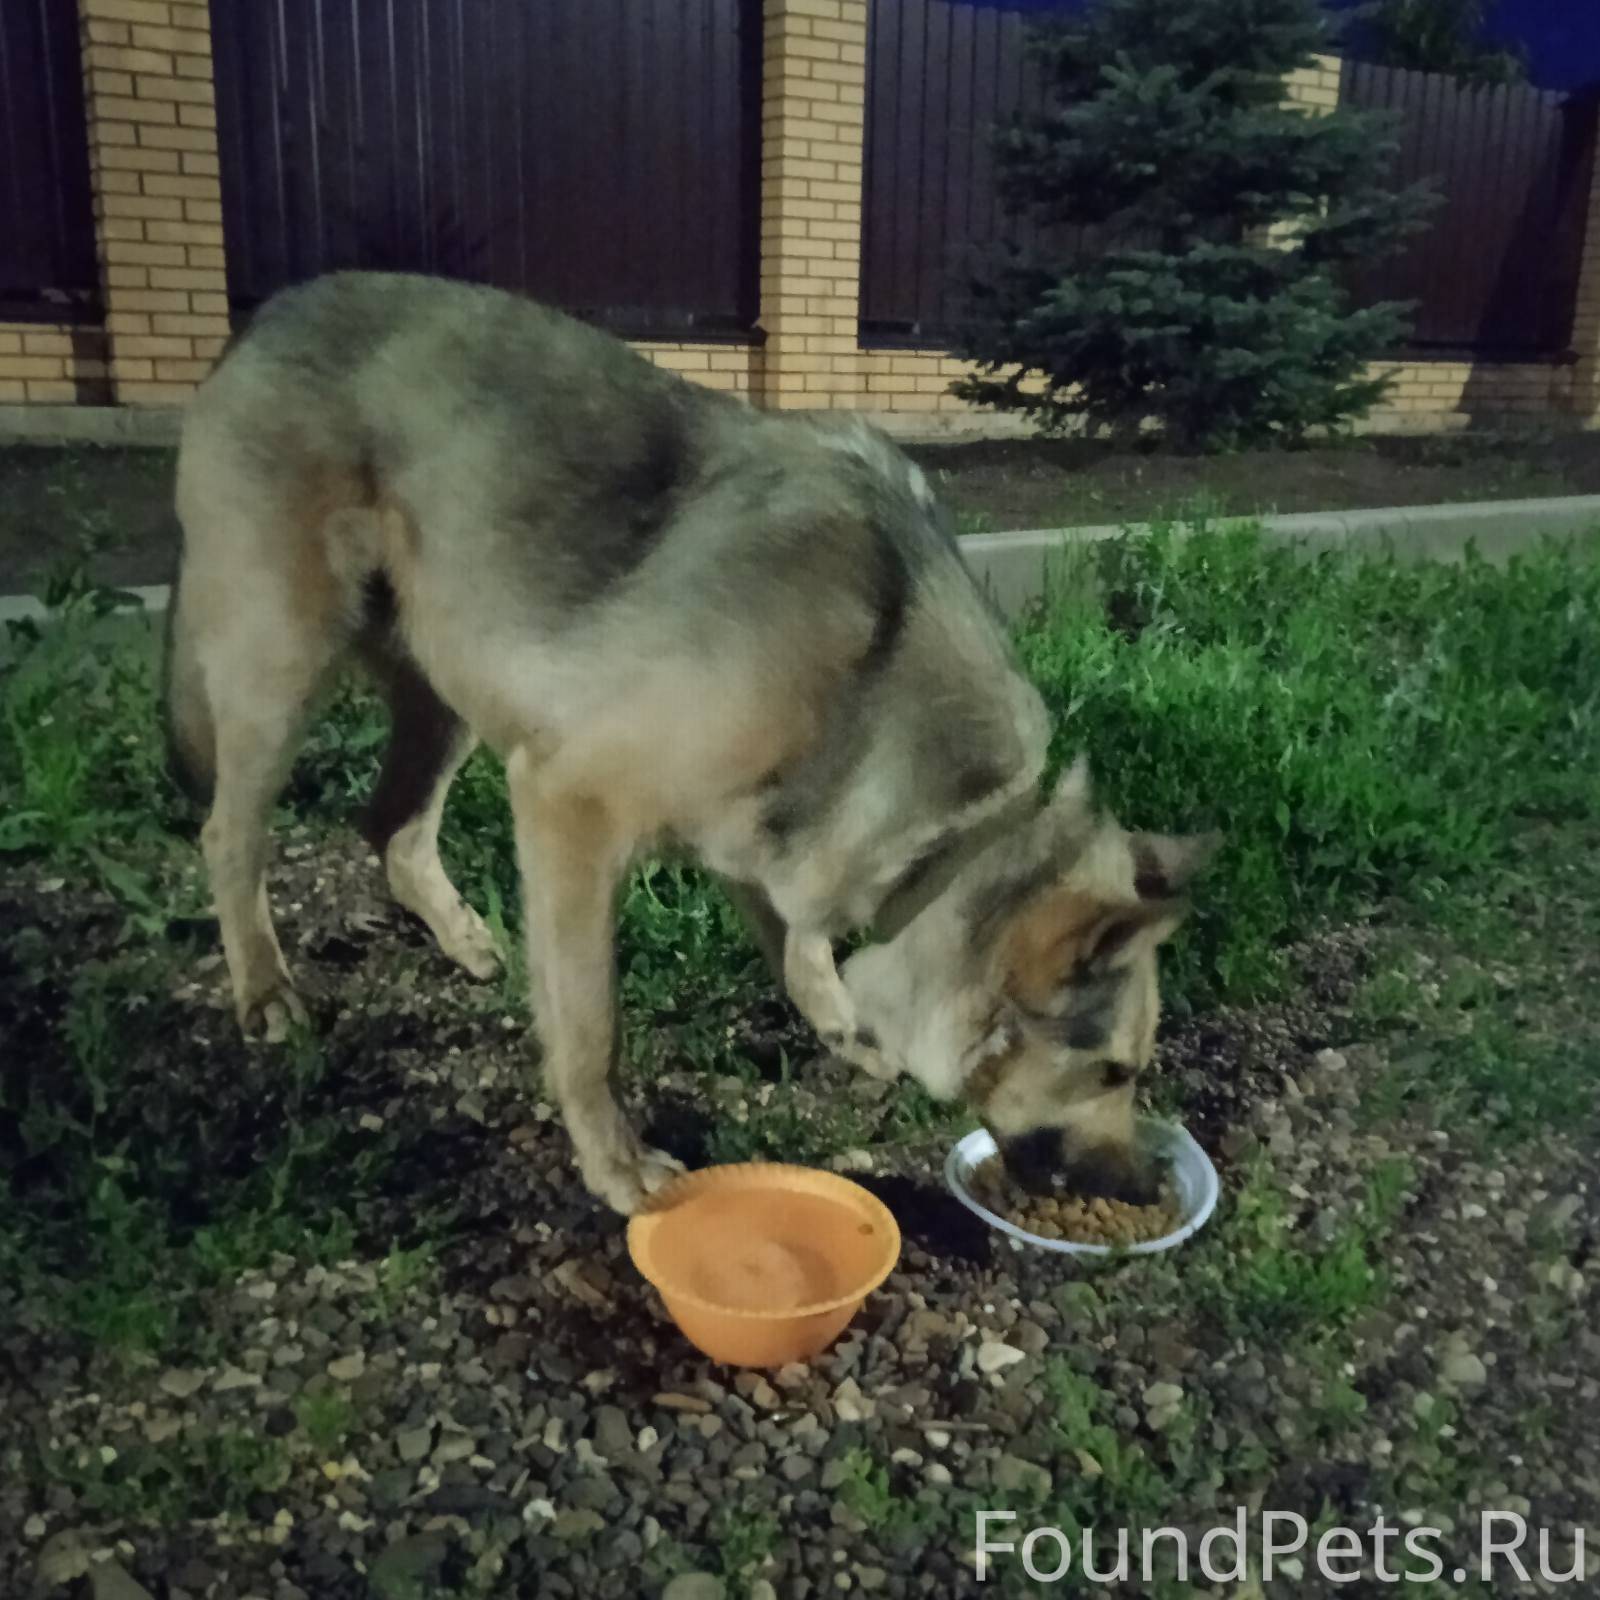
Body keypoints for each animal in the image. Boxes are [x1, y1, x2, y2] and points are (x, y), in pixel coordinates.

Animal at [162, 272, 1209, 1209]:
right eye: (1114, 1073)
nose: (1150, 1187)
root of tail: (263, 317)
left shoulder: (773, 832)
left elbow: (800, 937)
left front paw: (839, 1020)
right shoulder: (568, 806)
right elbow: (593, 1024)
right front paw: (617, 1163)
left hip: (453, 672)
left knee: (392, 825)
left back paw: (459, 939)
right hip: (284, 664)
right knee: (229, 833)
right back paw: (265, 989)